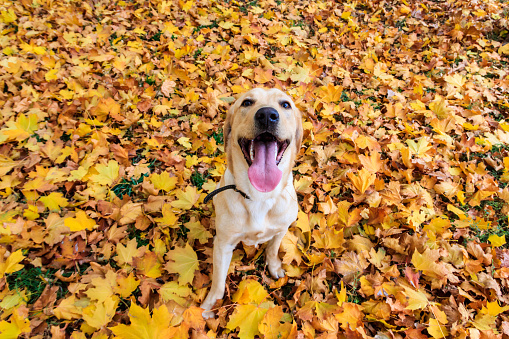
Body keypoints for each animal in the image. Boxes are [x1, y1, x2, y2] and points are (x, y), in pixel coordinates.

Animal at [198, 87, 302, 318]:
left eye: (285, 104)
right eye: (246, 103)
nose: (267, 115)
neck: (259, 196)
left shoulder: (281, 229)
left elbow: (272, 250)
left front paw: (274, 267)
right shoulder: (223, 244)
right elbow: (218, 282)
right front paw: (210, 305)